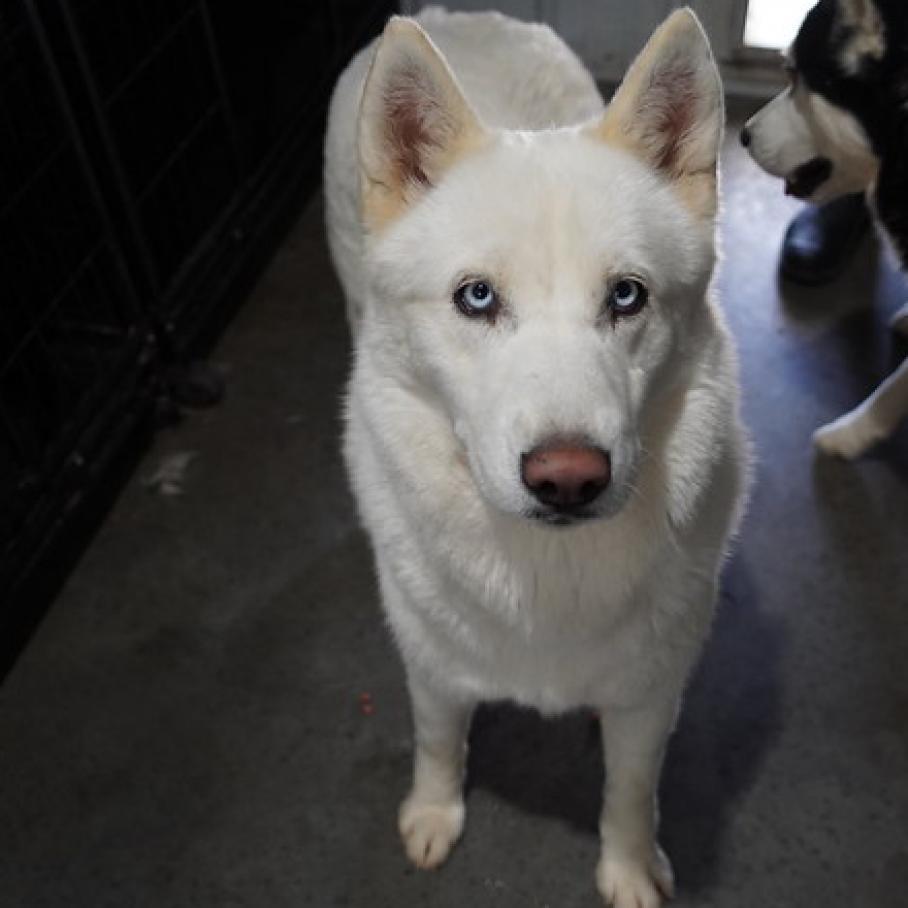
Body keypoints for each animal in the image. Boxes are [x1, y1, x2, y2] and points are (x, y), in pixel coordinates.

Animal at [324, 8, 744, 908]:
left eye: (626, 296)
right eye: (476, 298)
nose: (568, 478)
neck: (547, 574)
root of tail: (452, 18)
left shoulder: (651, 697)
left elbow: (632, 790)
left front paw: (629, 869)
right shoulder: (432, 668)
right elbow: (437, 741)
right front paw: (433, 814)